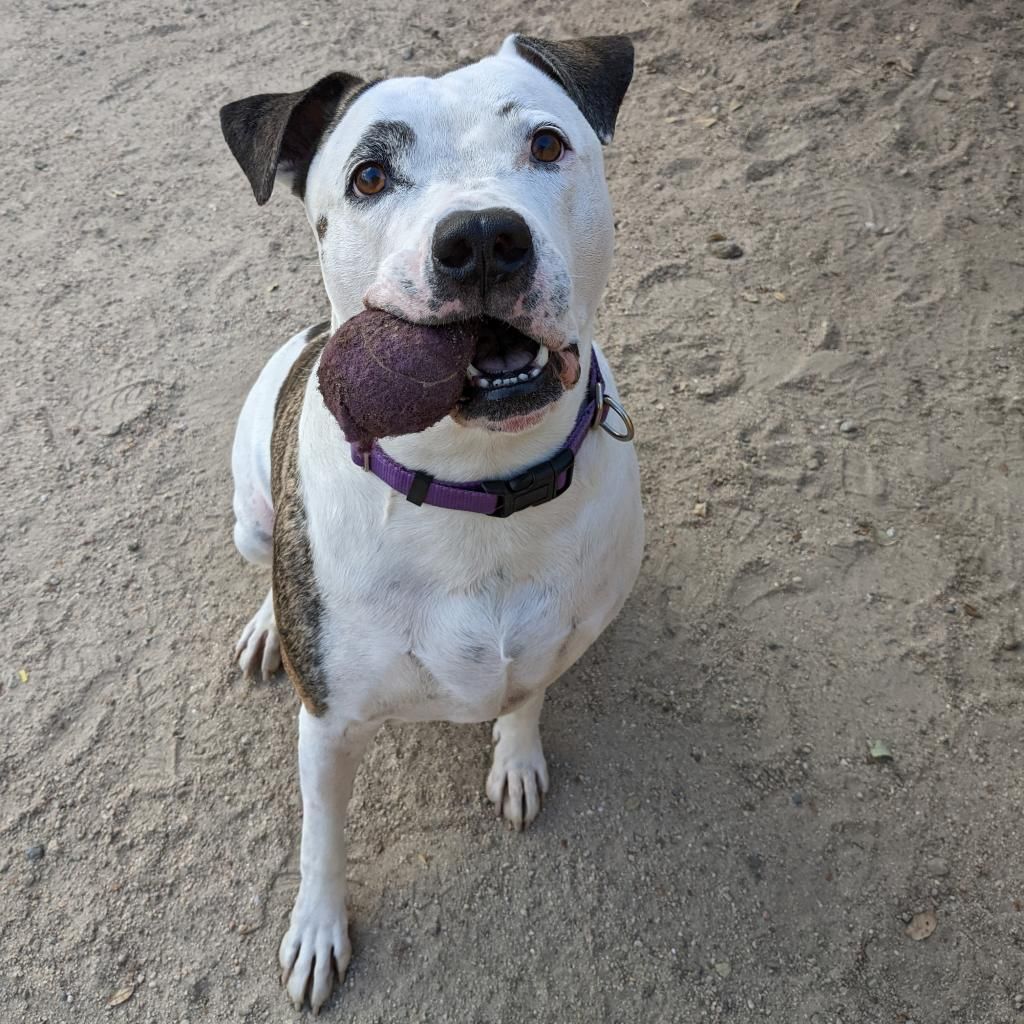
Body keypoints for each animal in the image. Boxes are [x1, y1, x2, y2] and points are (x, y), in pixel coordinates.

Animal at [220, 33, 643, 1012]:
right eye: (370, 176)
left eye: (546, 144)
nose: (482, 237)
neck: (474, 493)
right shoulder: (328, 725)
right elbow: (322, 837)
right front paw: (318, 930)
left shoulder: (556, 643)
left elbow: (523, 697)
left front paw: (515, 760)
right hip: (250, 511)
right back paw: (264, 628)